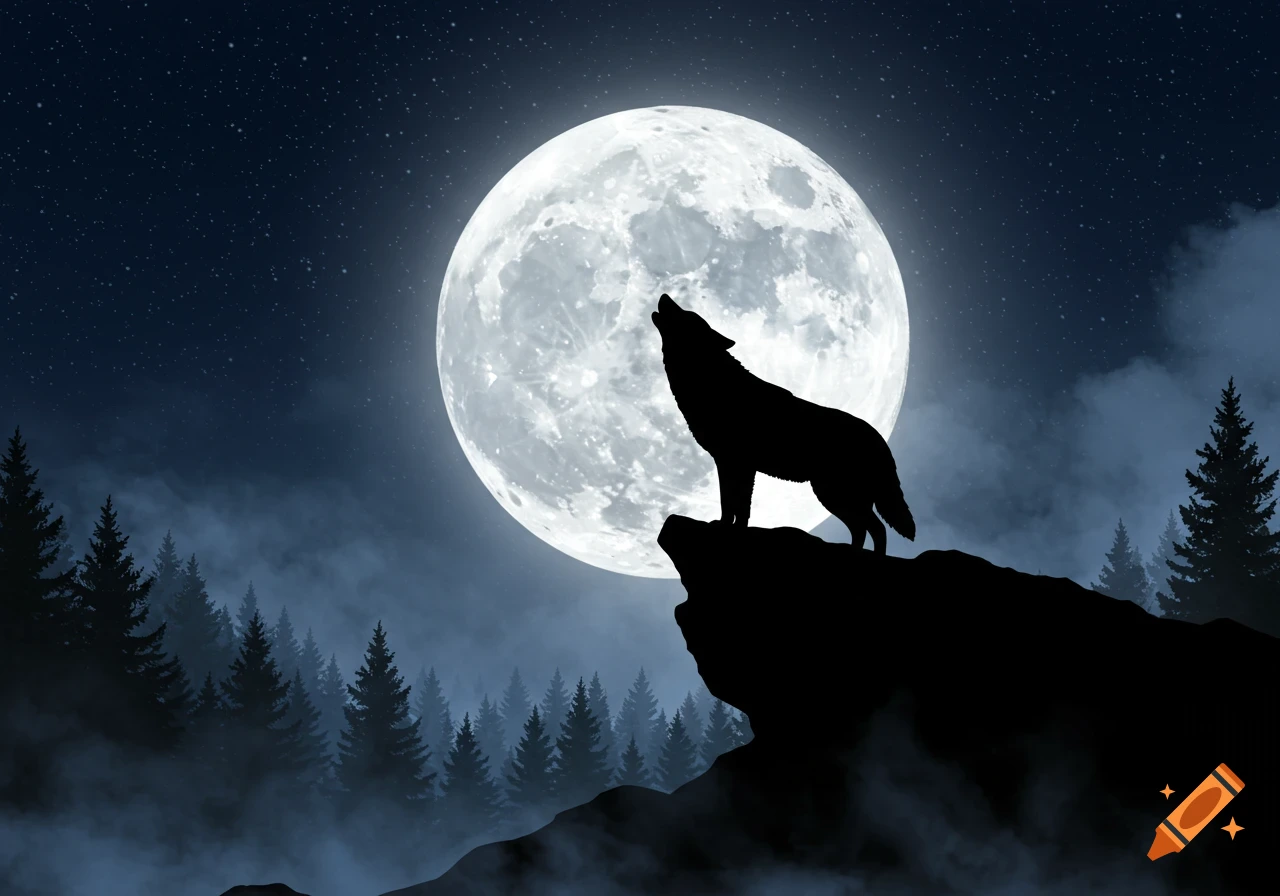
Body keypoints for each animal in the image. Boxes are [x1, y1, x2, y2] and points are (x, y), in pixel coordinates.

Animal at [651, 293, 915, 554]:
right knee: (863, 528)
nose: (664, 295)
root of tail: (880, 439)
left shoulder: (739, 463)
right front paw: (729, 527)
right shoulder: (728, 463)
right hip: (832, 495)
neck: (711, 380)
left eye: (687, 315)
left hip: (835, 494)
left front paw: (732, 531)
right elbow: (732, 503)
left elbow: (737, 505)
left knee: (875, 528)